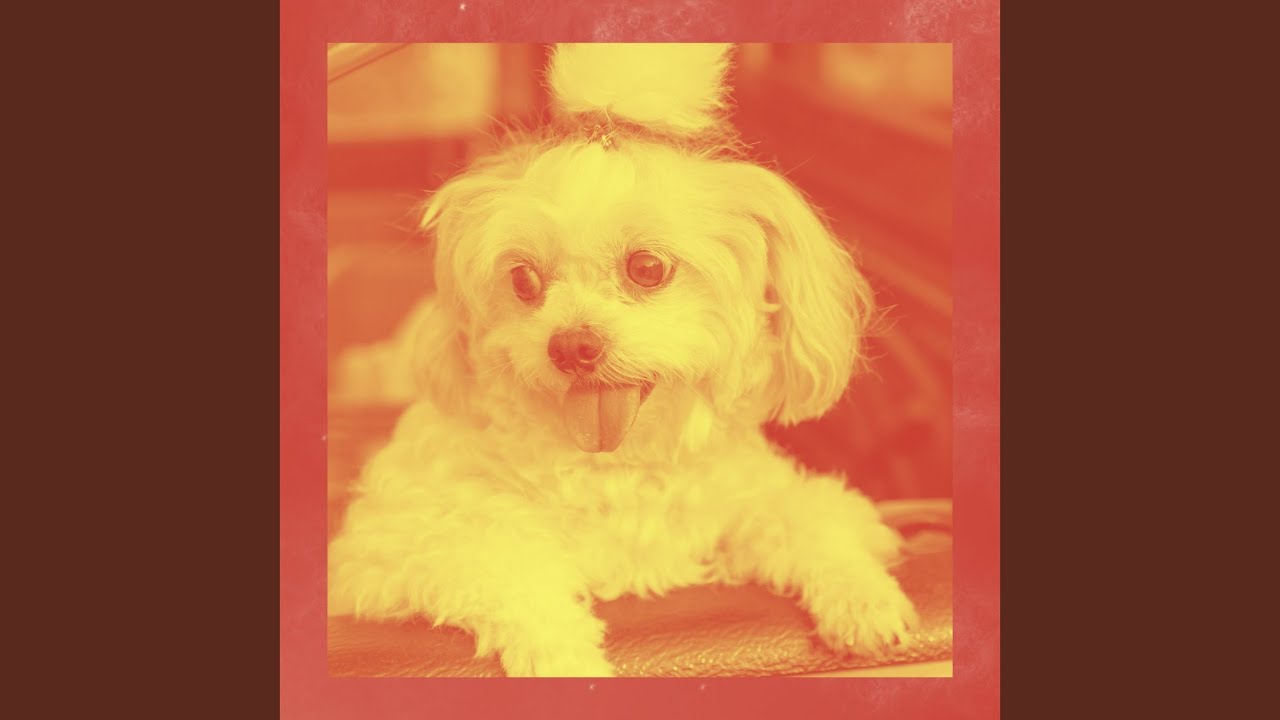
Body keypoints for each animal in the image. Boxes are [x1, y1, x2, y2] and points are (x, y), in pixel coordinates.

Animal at [328, 43, 918, 677]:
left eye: (647, 267)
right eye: (523, 279)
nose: (570, 346)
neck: (616, 467)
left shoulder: (751, 498)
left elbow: (810, 518)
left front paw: (863, 599)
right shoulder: (393, 547)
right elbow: (505, 569)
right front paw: (566, 661)